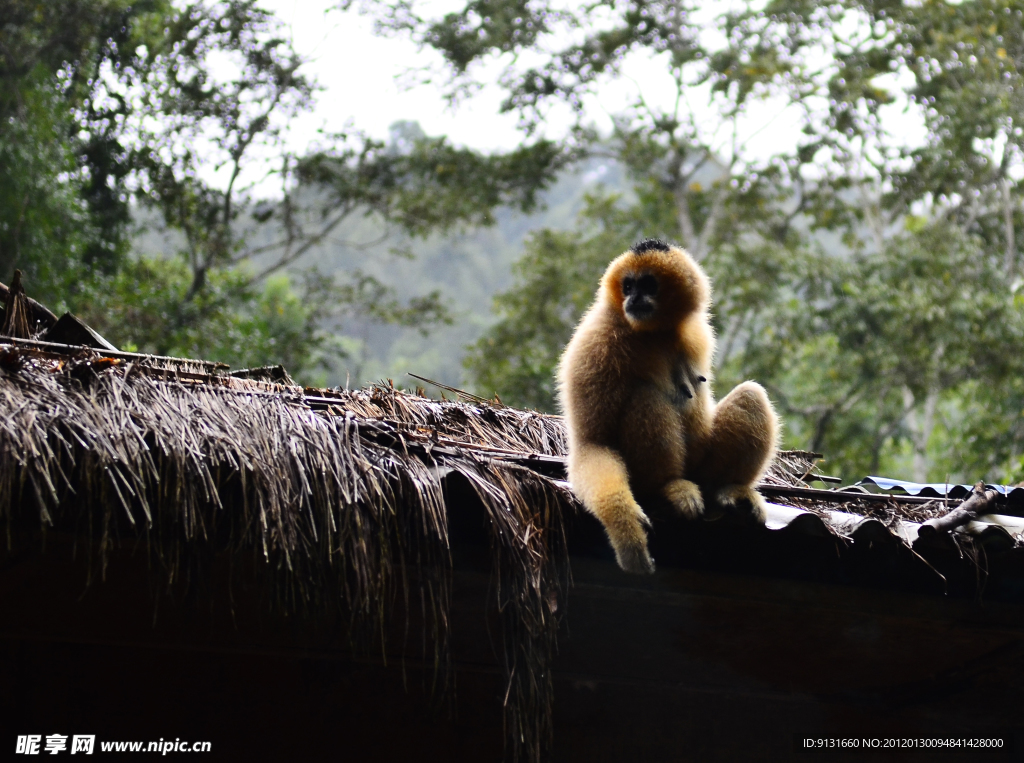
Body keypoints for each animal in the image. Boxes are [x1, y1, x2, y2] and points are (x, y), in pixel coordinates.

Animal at [561, 237, 774, 573]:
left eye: (647, 284)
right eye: (628, 286)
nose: (634, 298)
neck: (655, 332)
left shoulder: (698, 331)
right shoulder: (595, 342)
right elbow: (592, 444)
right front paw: (625, 527)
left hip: (700, 468)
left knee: (751, 395)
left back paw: (728, 488)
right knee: (645, 395)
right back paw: (671, 486)